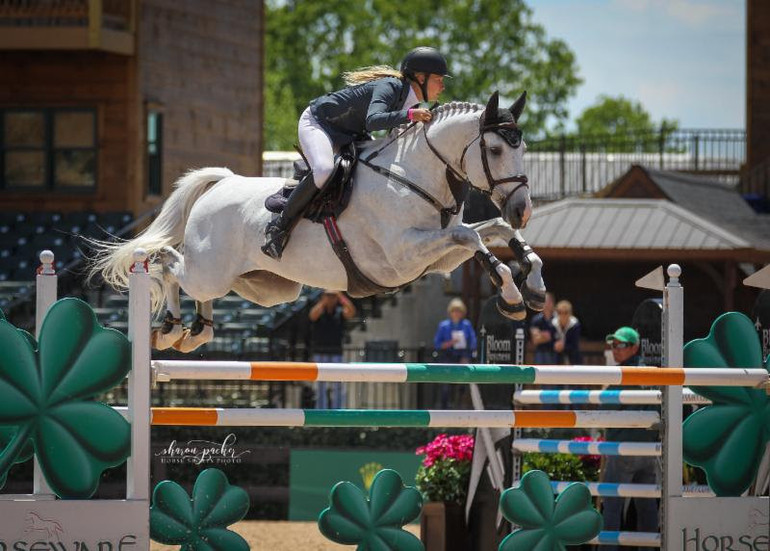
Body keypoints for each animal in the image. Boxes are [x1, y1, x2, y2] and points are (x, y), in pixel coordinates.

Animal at [91, 89, 544, 350]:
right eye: (495, 150)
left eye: (523, 148)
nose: (523, 209)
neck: (413, 175)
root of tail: (223, 182)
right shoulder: (403, 256)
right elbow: (473, 237)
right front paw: (511, 296)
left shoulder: (436, 257)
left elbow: (492, 231)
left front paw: (534, 287)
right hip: (210, 270)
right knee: (168, 264)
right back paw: (169, 327)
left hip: (268, 290)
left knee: (196, 283)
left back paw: (197, 330)